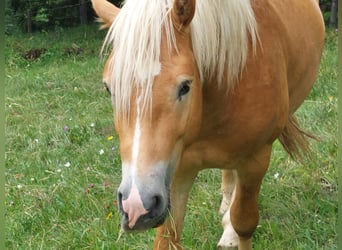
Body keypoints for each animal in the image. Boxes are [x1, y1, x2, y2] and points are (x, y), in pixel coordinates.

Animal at [90, 0, 324, 248]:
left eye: (185, 86)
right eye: (108, 88)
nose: (136, 205)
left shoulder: (256, 160)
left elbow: (244, 222)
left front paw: (233, 230)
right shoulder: (177, 171)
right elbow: (167, 237)